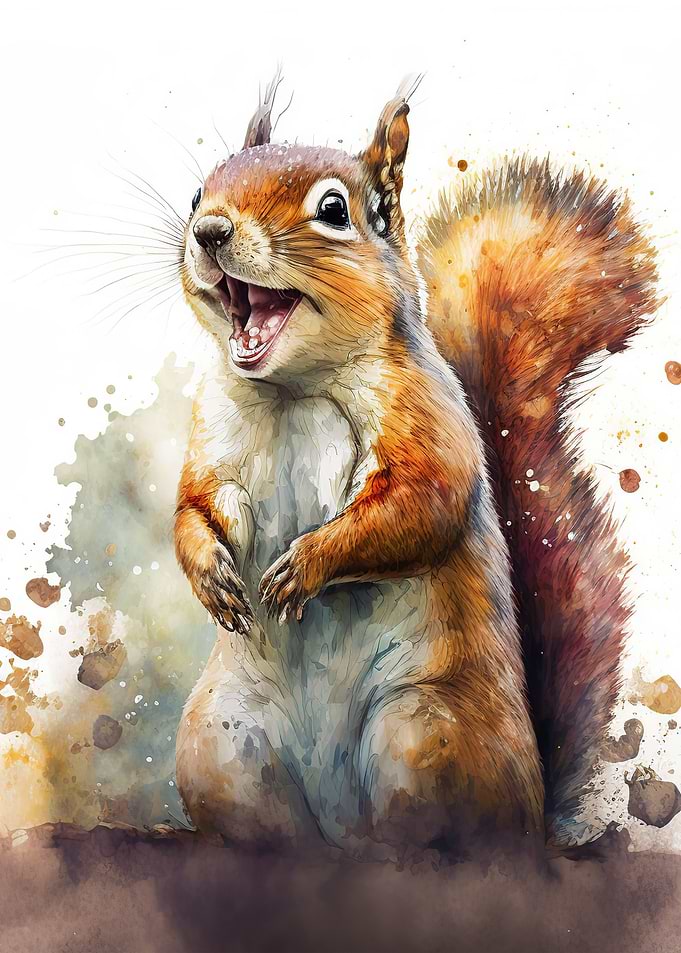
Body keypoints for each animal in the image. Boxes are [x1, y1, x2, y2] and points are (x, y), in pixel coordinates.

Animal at [173, 75, 659, 858]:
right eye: (196, 194)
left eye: (333, 210)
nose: (210, 232)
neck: (292, 388)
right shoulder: (211, 436)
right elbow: (194, 507)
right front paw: (213, 574)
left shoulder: (426, 421)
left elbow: (419, 506)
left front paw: (303, 564)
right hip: (222, 742)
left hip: (424, 732)